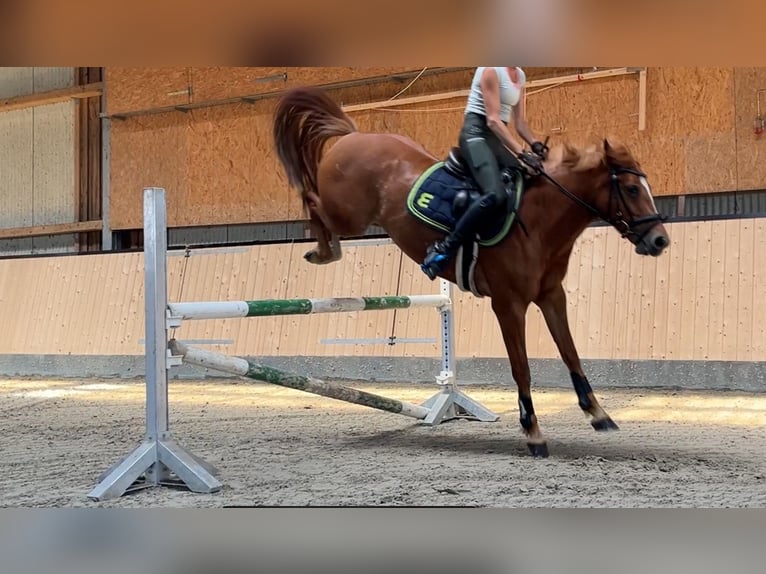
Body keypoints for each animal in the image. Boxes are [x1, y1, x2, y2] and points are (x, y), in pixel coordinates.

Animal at [272, 85, 668, 456]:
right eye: (632, 188)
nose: (660, 240)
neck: (540, 221)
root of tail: (354, 135)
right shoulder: (509, 305)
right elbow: (521, 367)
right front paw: (533, 432)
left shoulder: (552, 297)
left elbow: (571, 353)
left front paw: (598, 413)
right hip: (348, 214)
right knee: (311, 198)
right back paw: (325, 250)